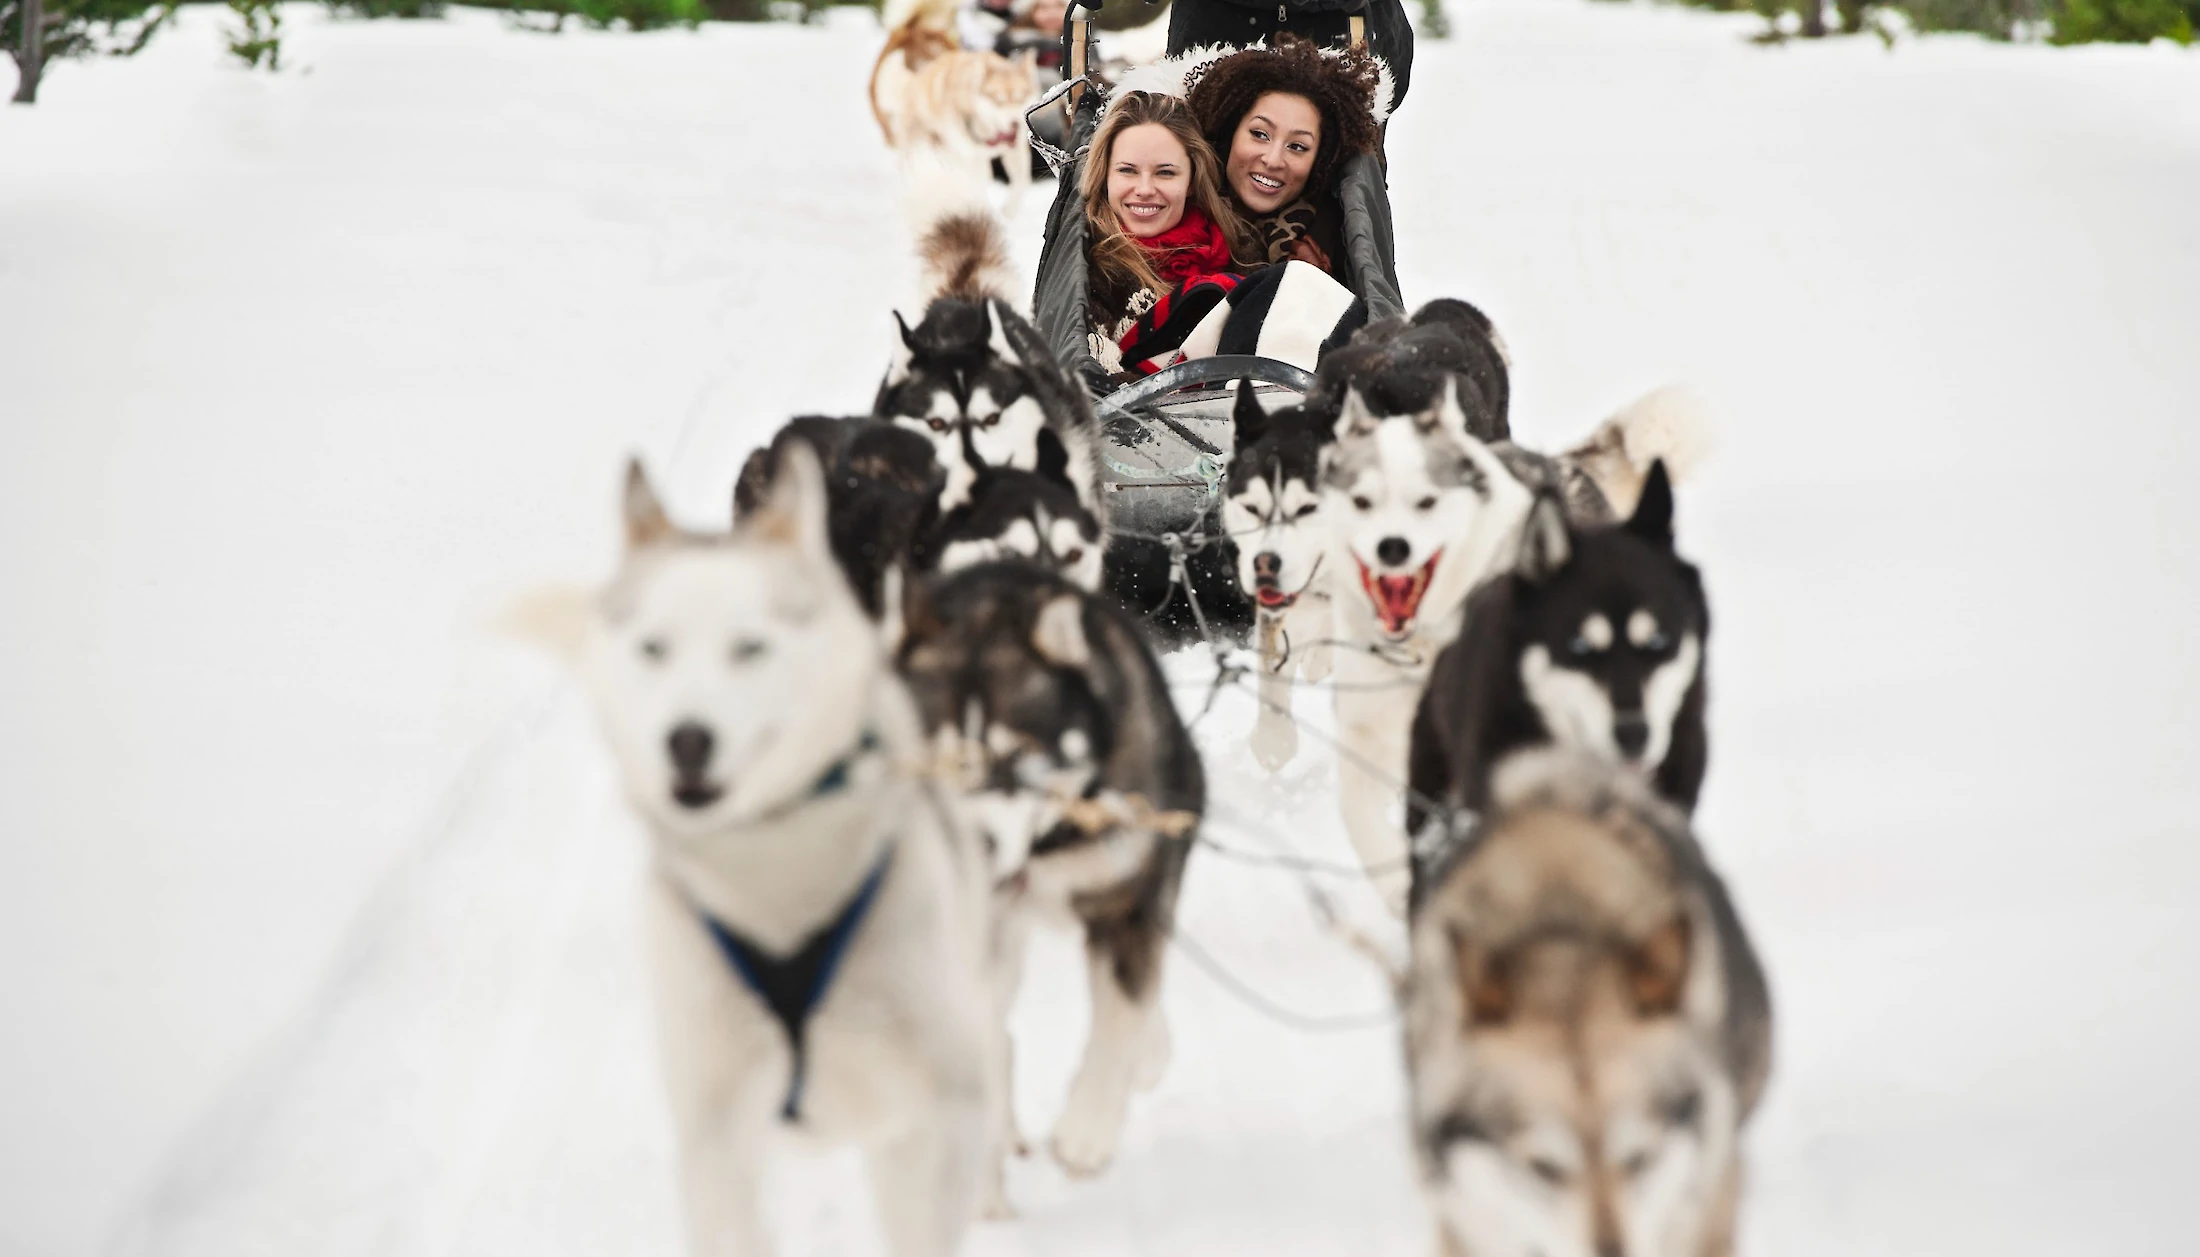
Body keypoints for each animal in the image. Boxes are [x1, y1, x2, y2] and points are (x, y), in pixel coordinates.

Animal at [558, 453, 998, 1257]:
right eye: (654, 647)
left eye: (750, 646)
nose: (687, 740)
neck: (781, 885)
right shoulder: (715, 1136)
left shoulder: (941, 1107)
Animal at [893, 563, 1205, 1197]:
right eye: (937, 764)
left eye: (1017, 759)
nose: (977, 846)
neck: (1046, 846)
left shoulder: (1130, 903)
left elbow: (1123, 1020)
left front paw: (1088, 1130)